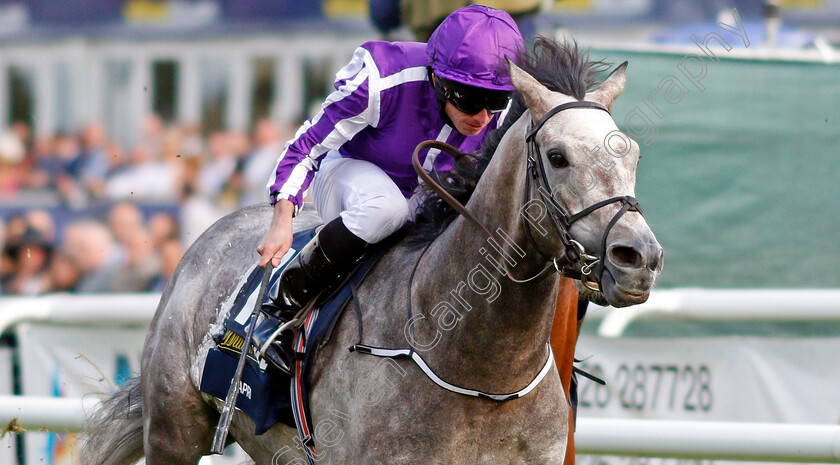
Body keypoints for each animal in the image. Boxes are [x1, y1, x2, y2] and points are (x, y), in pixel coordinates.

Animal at [83, 41, 664, 462]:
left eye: (632, 153)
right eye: (558, 156)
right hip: (174, 432)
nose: (639, 258)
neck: (481, 373)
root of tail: (210, 234)